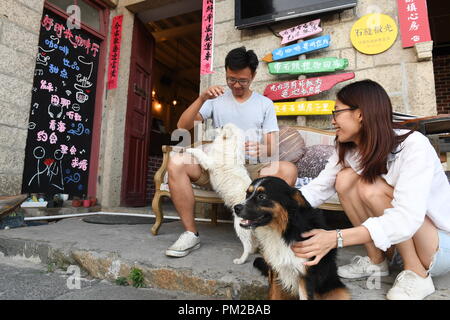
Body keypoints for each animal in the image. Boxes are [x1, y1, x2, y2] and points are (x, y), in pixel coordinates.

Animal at [185, 123, 256, 264]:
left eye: (222, 127)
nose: (218, 125)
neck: (230, 145)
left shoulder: (209, 162)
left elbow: (200, 153)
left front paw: (190, 150)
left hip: (240, 225)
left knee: (247, 245)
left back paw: (241, 259)